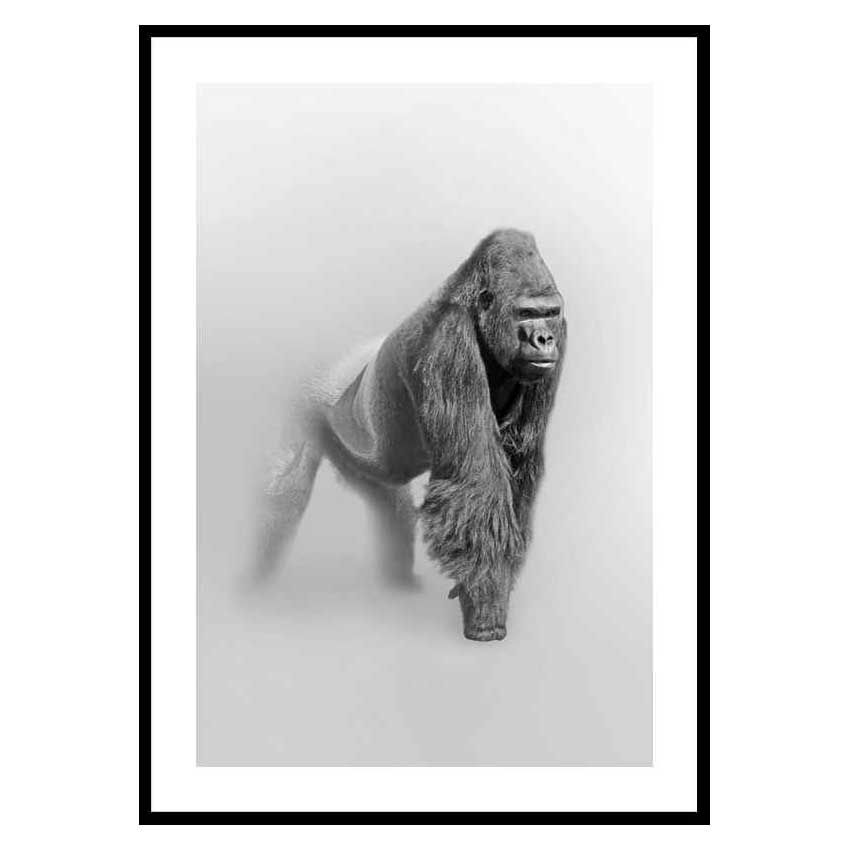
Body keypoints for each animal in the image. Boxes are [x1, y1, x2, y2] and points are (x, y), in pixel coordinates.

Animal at [258, 229, 566, 641]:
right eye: (527, 313)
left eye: (550, 313)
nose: (544, 339)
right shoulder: (449, 343)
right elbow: (476, 485)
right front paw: (487, 610)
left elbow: (517, 471)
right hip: (306, 400)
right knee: (284, 495)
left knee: (392, 508)